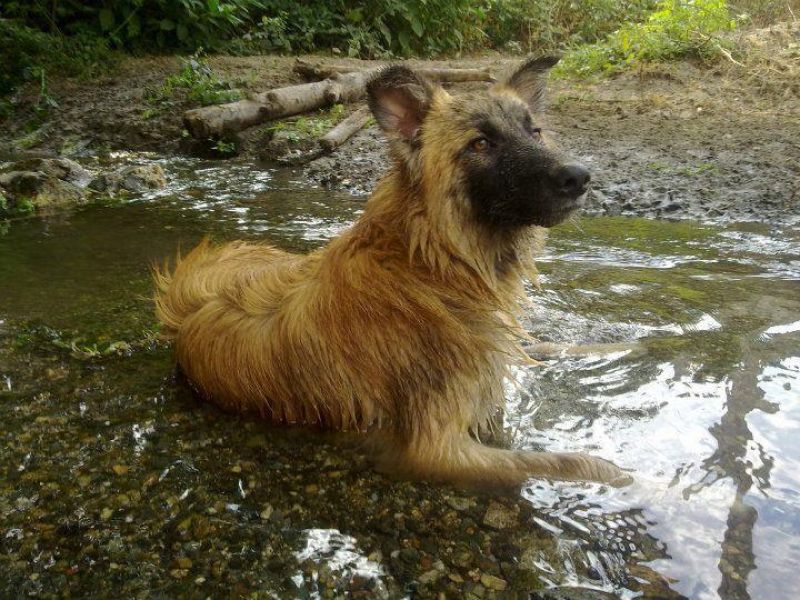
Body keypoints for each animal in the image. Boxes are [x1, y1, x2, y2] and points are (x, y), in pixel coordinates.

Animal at [155, 55, 632, 488]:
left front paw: (637, 345)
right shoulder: (437, 448)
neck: (430, 262)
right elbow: (572, 464)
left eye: (534, 131)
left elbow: (549, 349)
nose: (579, 177)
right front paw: (636, 483)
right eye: (480, 144)